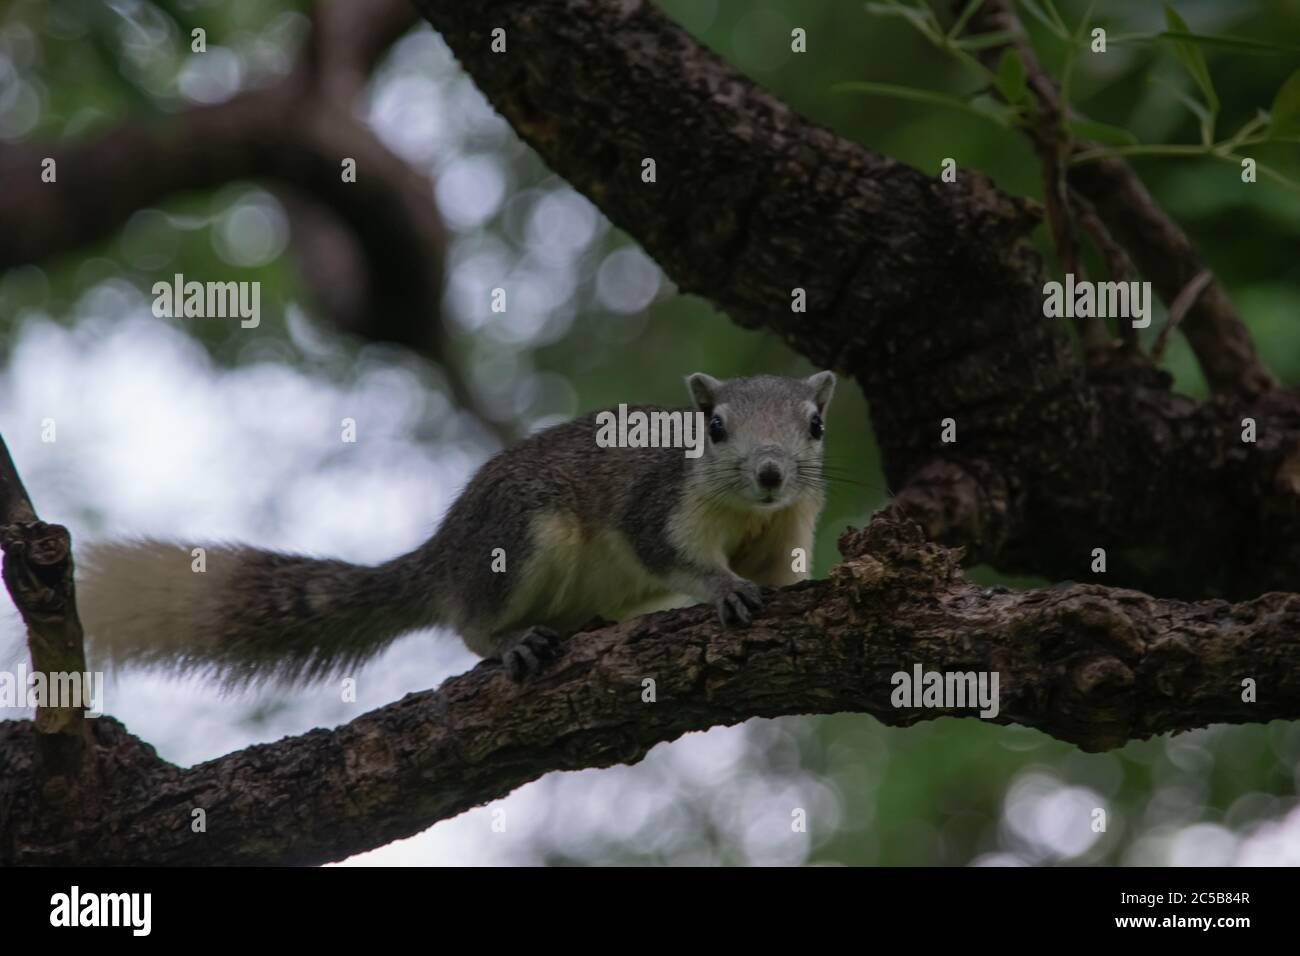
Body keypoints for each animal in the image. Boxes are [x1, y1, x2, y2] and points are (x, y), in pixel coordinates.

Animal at [76, 371, 835, 685]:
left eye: (816, 426)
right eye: (715, 427)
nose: (771, 473)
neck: (752, 513)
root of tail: (441, 556)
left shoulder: (792, 523)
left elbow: (782, 572)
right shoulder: (659, 505)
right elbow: (672, 554)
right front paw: (722, 587)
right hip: (522, 535)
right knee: (470, 624)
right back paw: (507, 643)